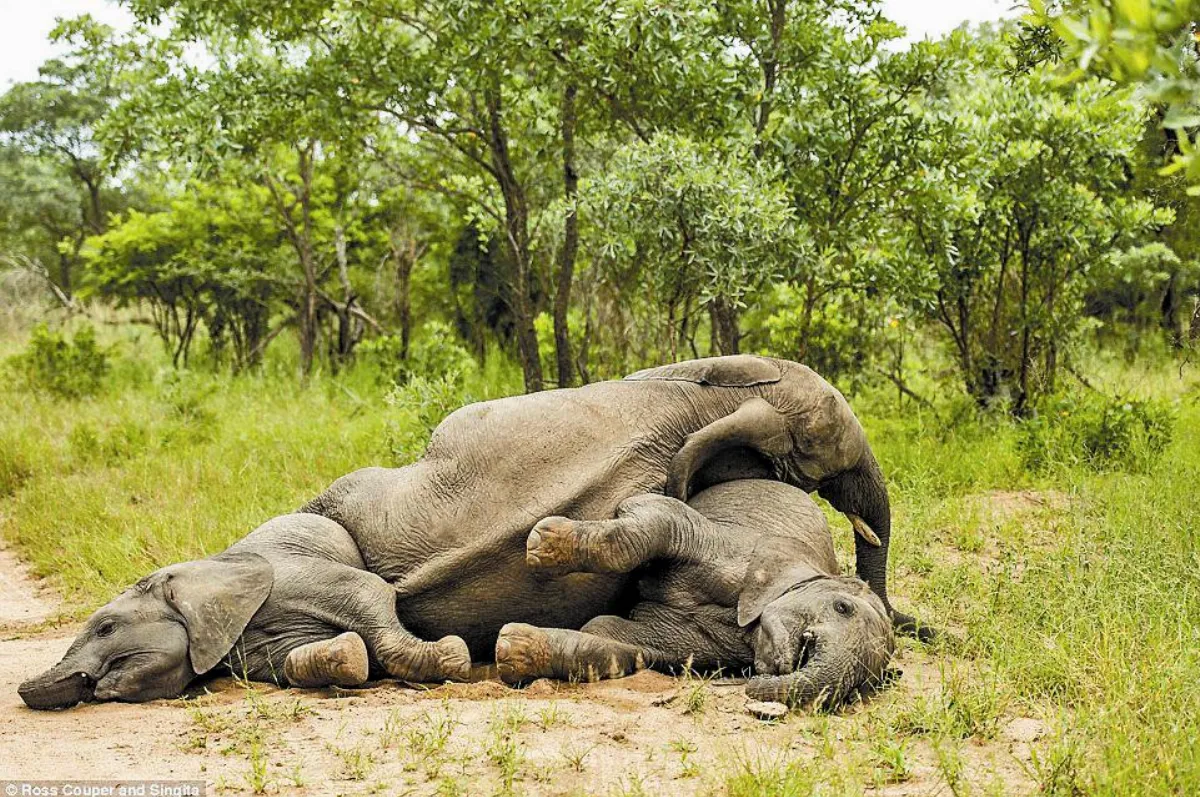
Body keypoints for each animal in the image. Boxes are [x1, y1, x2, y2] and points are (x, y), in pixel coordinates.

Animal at [497, 479, 895, 708]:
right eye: (842, 607)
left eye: (864, 684)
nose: (752, 685)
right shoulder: (737, 547)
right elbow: (661, 516)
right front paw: (543, 542)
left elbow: (617, 644)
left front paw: (513, 650)